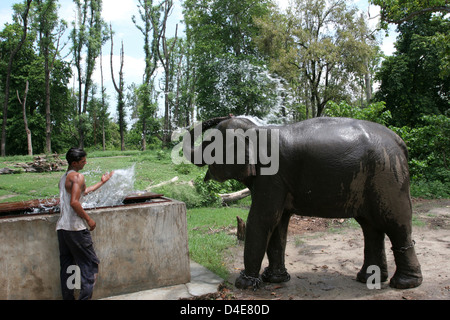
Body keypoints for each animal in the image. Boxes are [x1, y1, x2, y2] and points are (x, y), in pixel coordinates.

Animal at [182, 115, 422, 290]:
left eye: (209, 144)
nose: (224, 114)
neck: (258, 130)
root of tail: (400, 141)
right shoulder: (279, 181)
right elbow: (278, 223)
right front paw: (275, 279)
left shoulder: (272, 176)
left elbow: (262, 219)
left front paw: (245, 284)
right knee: (370, 227)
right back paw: (368, 279)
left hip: (387, 176)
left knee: (395, 224)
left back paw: (404, 284)